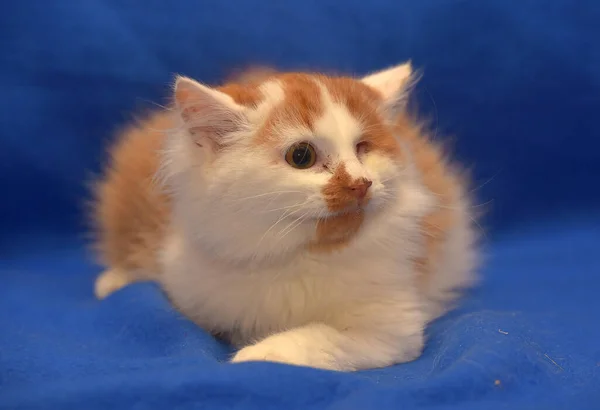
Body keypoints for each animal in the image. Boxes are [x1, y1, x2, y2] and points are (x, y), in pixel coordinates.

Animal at [91, 63, 478, 372]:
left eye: (363, 148)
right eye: (301, 156)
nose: (361, 183)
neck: (301, 256)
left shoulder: (392, 329)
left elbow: (316, 338)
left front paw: (257, 354)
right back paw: (111, 282)